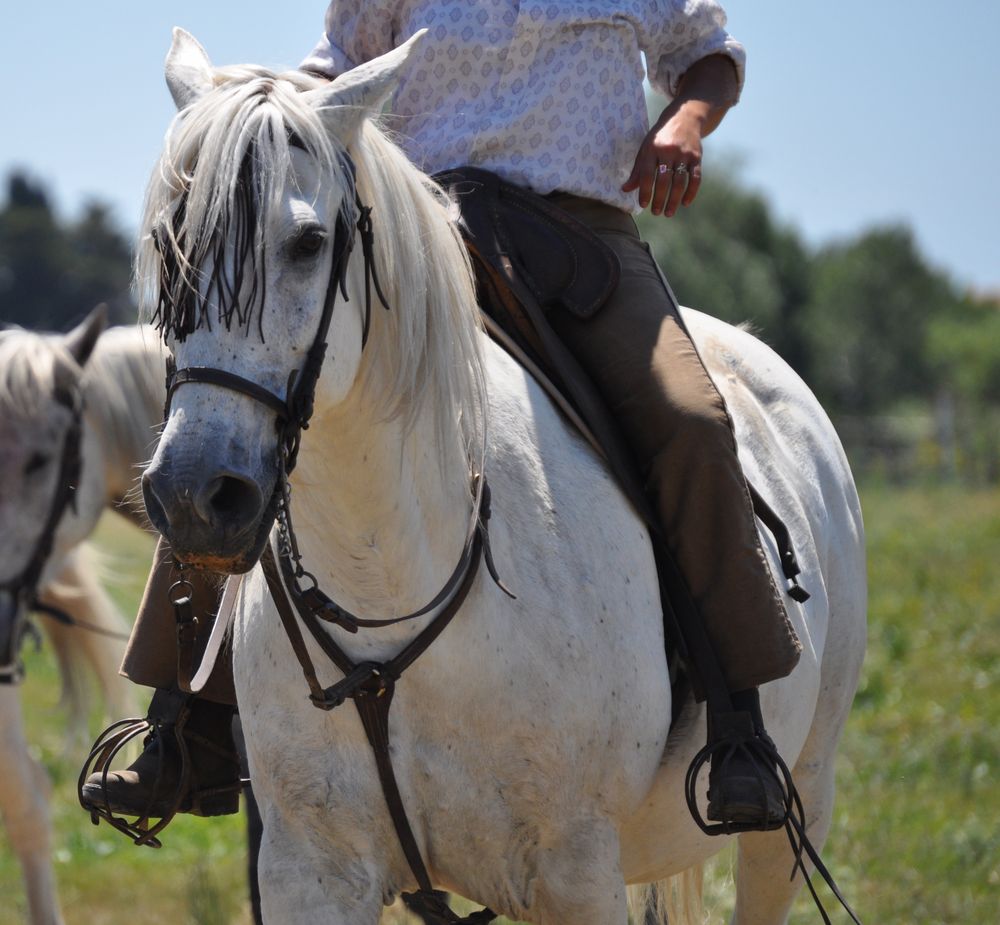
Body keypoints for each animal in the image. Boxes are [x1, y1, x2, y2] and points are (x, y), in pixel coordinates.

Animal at [139, 30, 868, 924]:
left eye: (306, 244)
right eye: (167, 242)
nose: (196, 497)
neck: (391, 585)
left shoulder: (576, 875)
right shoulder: (309, 872)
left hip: (794, 812)